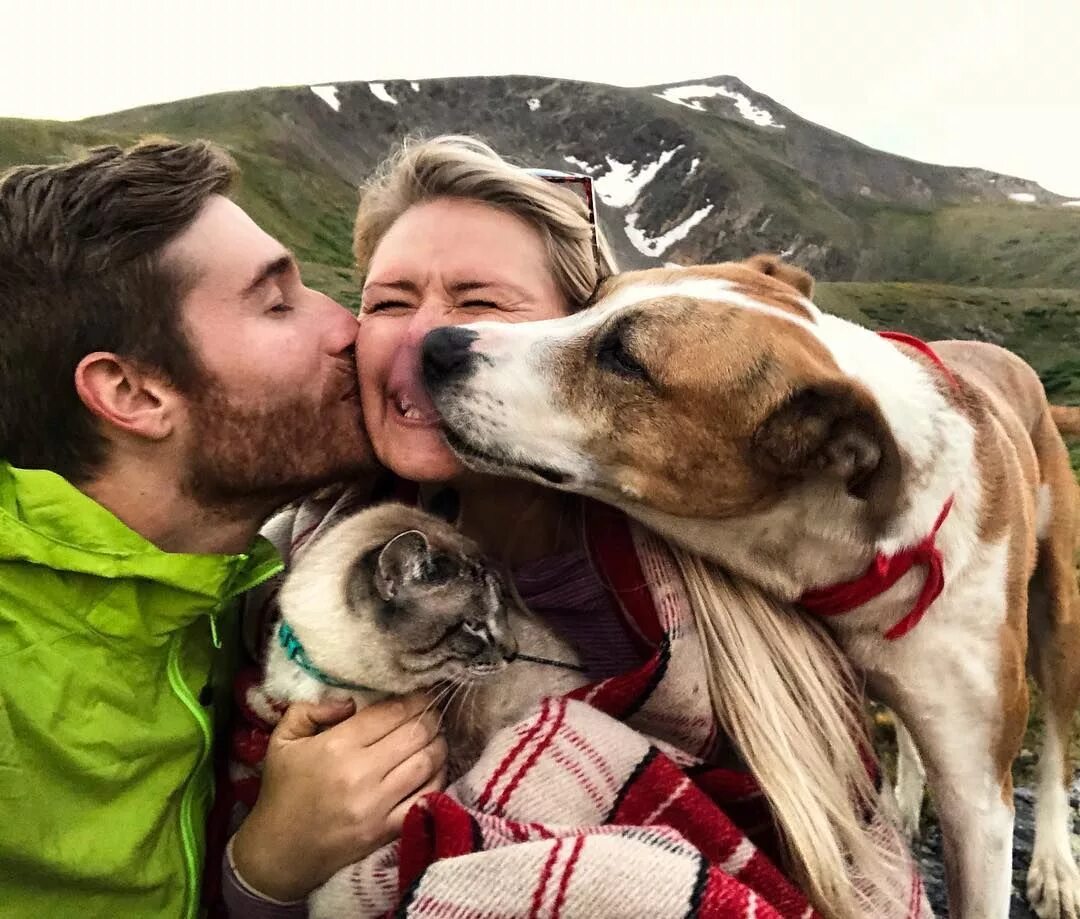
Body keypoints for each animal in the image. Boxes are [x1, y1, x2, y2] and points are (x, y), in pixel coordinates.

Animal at [419, 253, 1080, 919]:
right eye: (591, 300)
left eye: (625, 359)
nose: (435, 345)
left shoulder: (979, 798)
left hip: (1057, 611)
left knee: (1054, 743)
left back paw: (1054, 863)